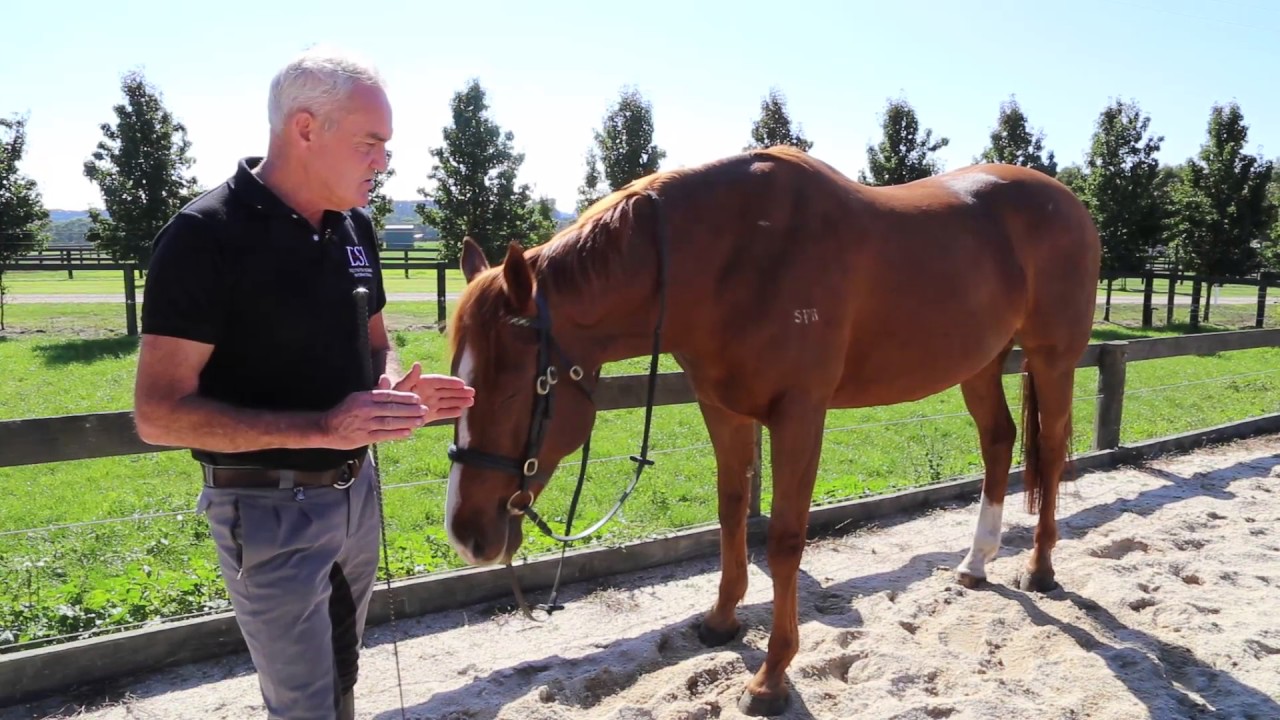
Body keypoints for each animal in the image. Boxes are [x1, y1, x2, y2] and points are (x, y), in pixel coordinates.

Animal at [442, 145, 1101, 715]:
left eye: (512, 387)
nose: (467, 533)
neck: (735, 258)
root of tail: (1067, 200)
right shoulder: (724, 410)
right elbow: (732, 511)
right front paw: (722, 620)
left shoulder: (799, 416)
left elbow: (784, 540)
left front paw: (771, 678)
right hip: (981, 364)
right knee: (999, 442)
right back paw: (976, 562)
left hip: (1053, 360)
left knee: (1048, 452)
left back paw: (1040, 568)